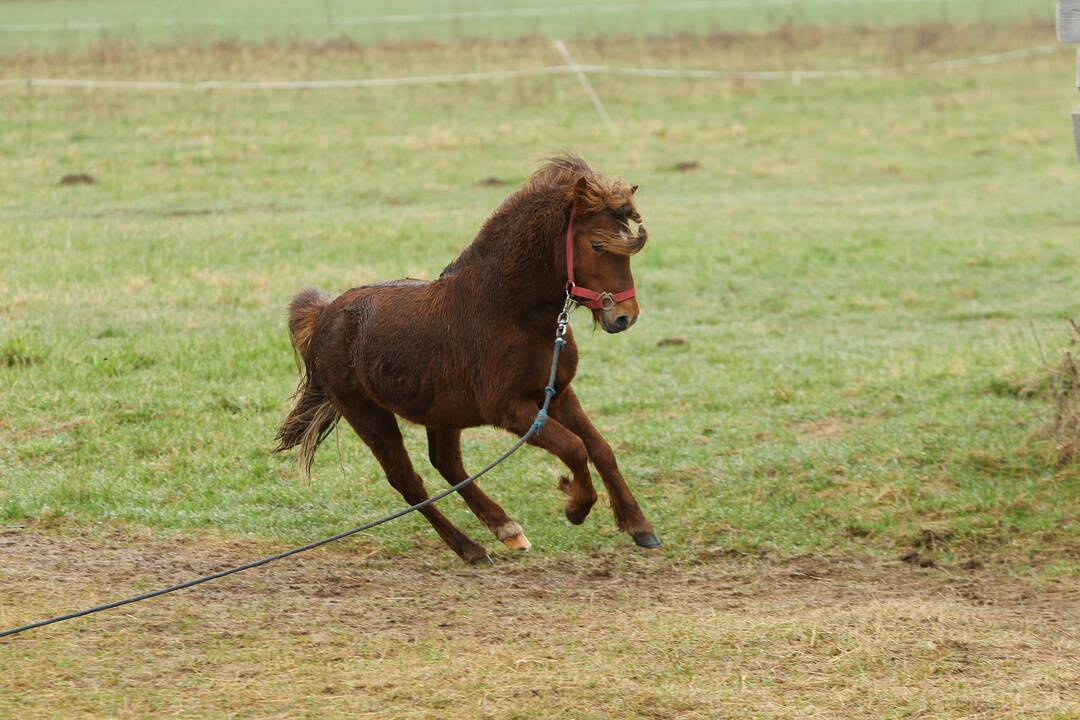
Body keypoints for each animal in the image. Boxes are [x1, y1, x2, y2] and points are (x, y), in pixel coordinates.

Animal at [276, 156, 656, 561]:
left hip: (439, 411)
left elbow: (600, 449)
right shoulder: (509, 410)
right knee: (408, 481)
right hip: (367, 415)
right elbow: (574, 447)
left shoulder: (557, 394)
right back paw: (470, 548)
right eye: (597, 244)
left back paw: (506, 530)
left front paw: (639, 526)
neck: (507, 311)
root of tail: (324, 315)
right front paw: (575, 506)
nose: (624, 317)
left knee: (446, 463)